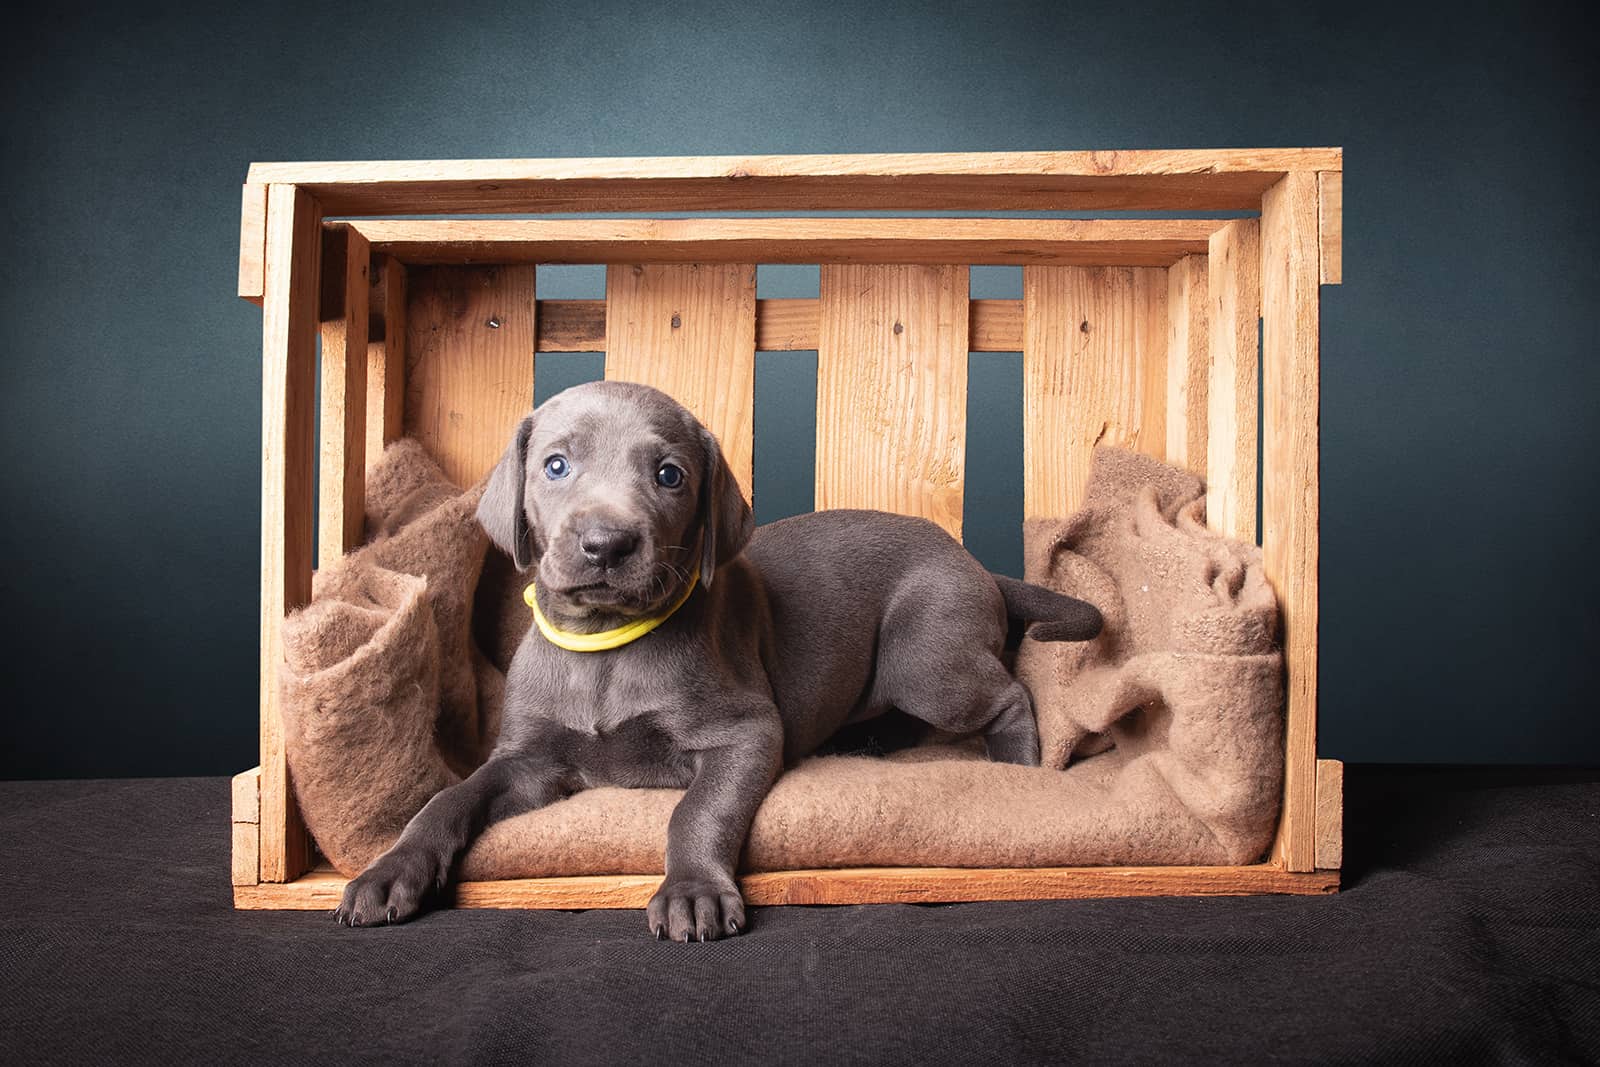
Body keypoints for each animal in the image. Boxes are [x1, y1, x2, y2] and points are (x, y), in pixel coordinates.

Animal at [336, 379, 1100, 940]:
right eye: (555, 465)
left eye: (669, 474)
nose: (606, 543)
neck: (606, 648)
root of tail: (973, 563)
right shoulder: (527, 759)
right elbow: (448, 796)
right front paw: (389, 871)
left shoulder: (745, 730)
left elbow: (697, 810)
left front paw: (693, 892)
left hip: (927, 657)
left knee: (1008, 694)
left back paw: (1019, 763)